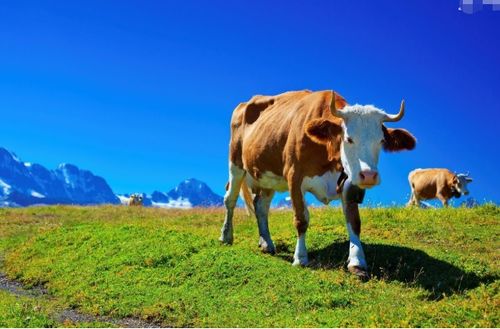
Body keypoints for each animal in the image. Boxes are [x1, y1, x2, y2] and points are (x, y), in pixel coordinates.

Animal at [221, 89, 416, 276]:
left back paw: (266, 243)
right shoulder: (294, 177)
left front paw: (357, 262)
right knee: (230, 199)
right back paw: (226, 236)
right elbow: (301, 219)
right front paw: (300, 257)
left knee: (260, 206)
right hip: (236, 164)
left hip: (268, 176)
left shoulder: (349, 181)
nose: (368, 175)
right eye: (349, 138)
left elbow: (354, 222)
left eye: (381, 140)